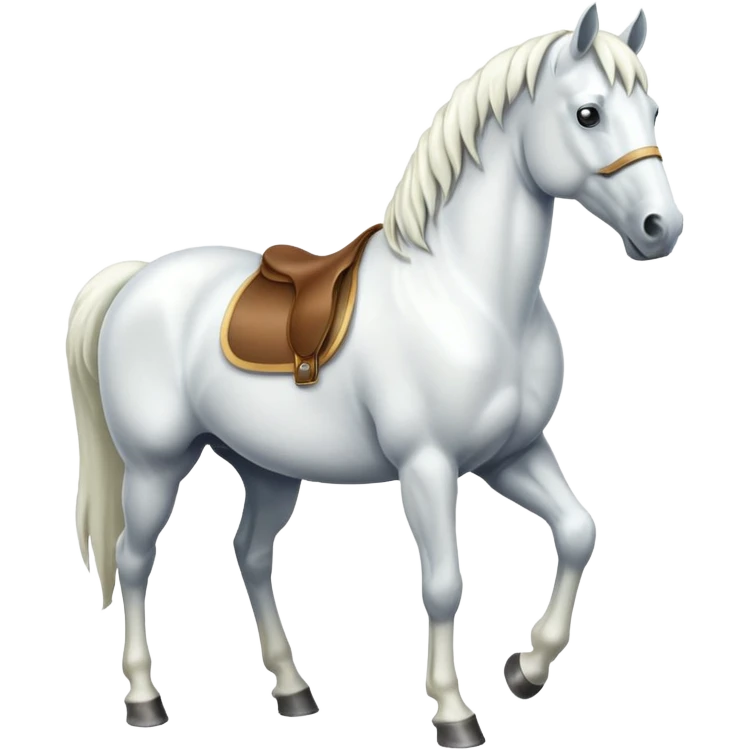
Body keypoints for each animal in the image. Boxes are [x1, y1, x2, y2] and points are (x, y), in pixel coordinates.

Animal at [65, 3, 682, 746]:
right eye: (588, 114)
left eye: (652, 109)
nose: (661, 228)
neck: (469, 295)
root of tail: (137, 279)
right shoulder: (428, 466)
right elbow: (443, 584)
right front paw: (454, 711)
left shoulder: (512, 455)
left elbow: (578, 531)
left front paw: (527, 668)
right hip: (156, 464)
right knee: (133, 559)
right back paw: (144, 700)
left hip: (268, 467)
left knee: (251, 555)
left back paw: (293, 690)